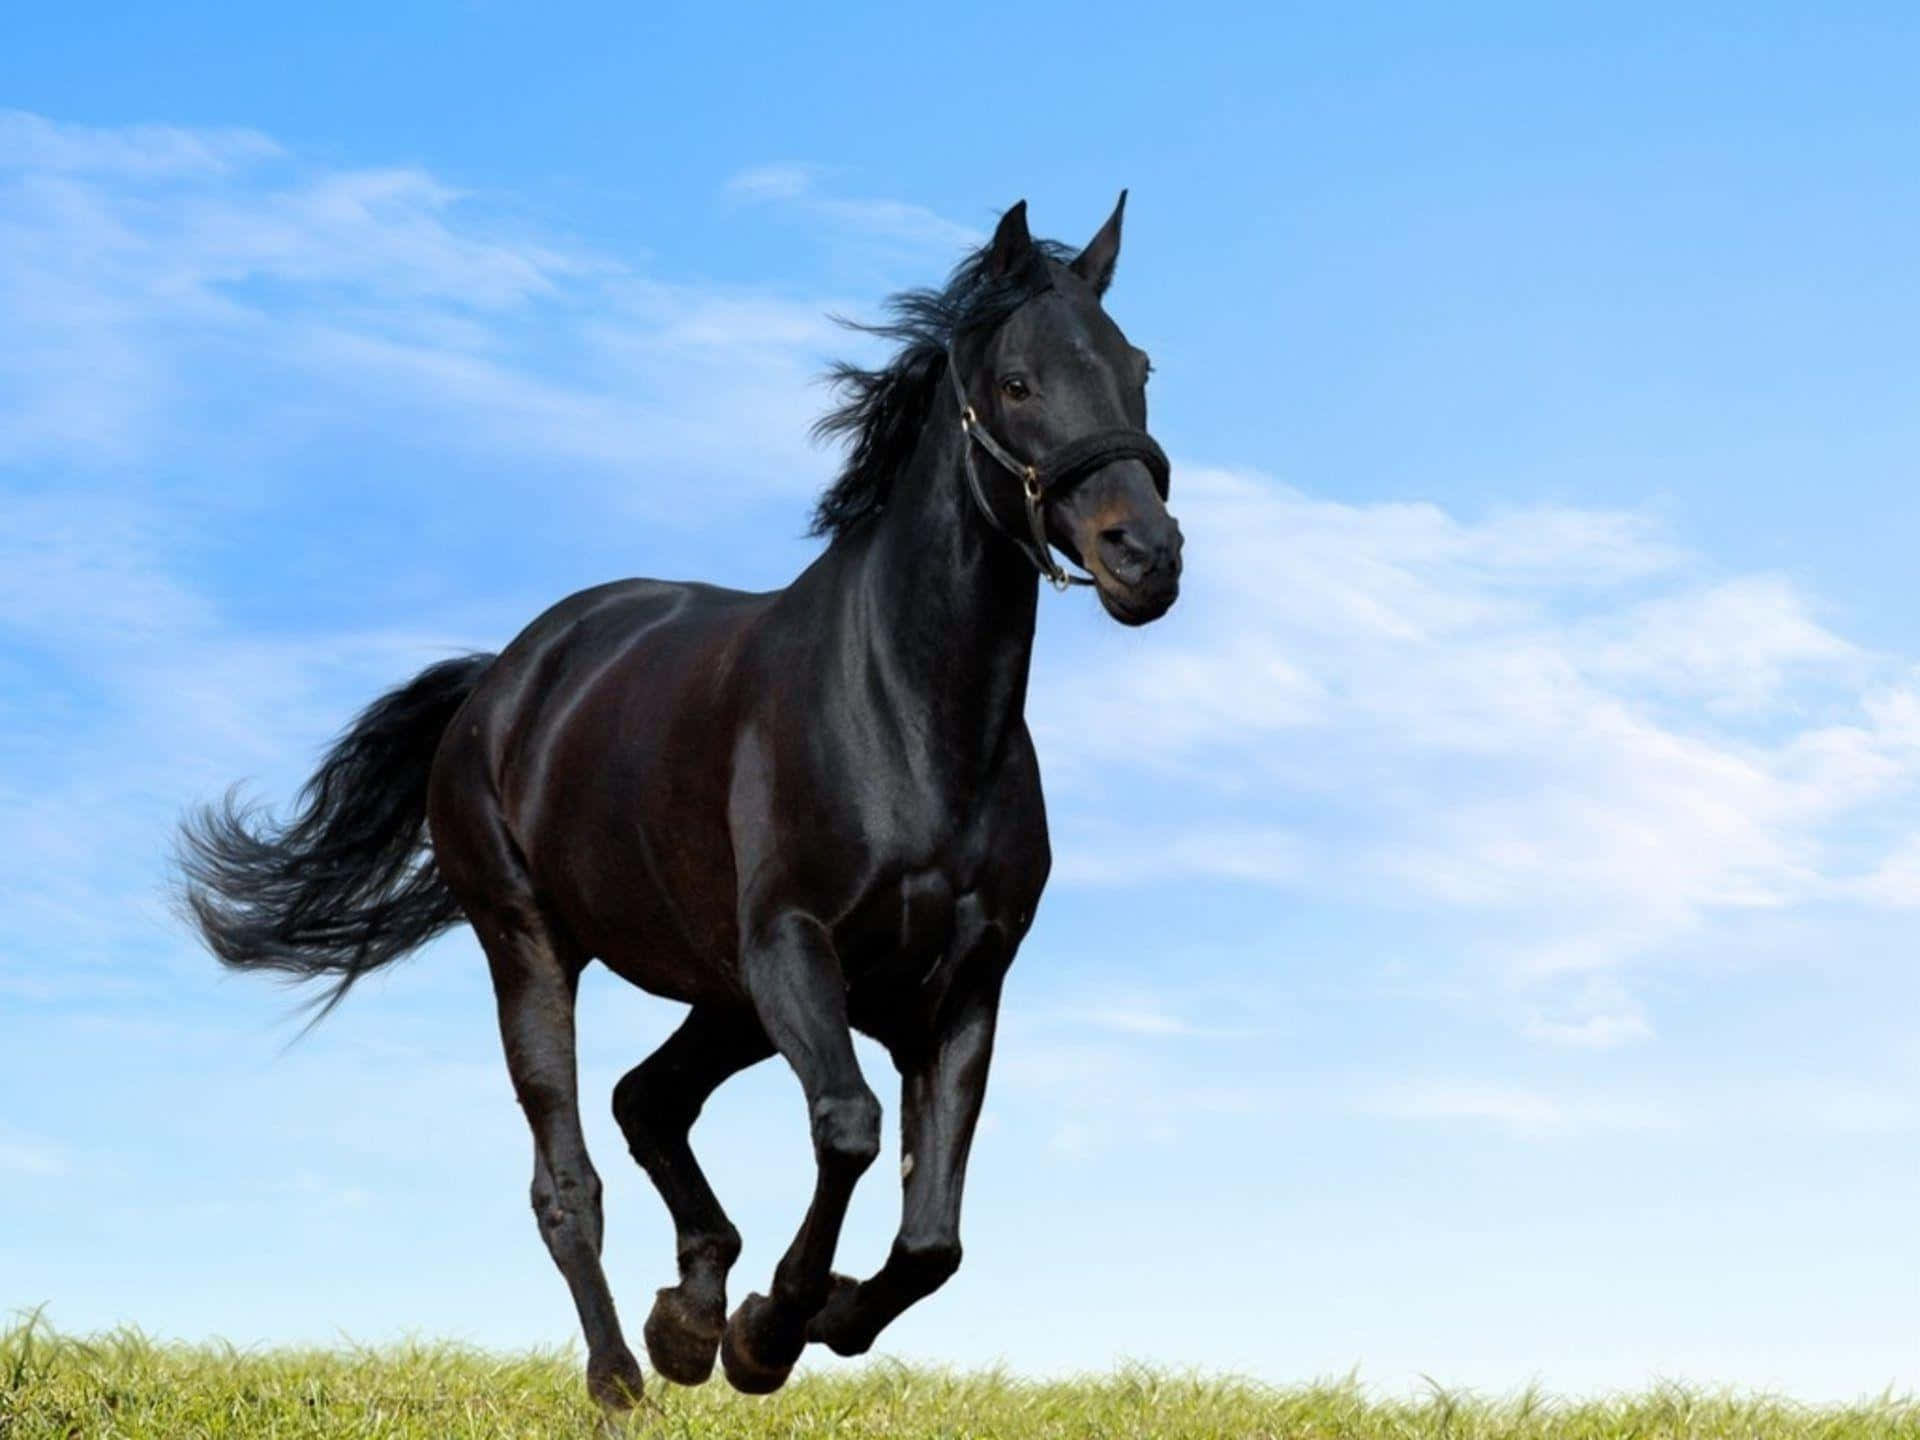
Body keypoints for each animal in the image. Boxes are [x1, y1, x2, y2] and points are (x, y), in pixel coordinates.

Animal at [178, 194, 1183, 1409]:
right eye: (1020, 381)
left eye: (1138, 367)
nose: (1147, 556)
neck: (909, 715)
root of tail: (504, 679)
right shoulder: (794, 946)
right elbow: (850, 1130)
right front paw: (770, 1331)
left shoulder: (962, 988)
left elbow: (932, 1238)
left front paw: (790, 1319)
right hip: (535, 948)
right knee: (569, 1177)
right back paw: (626, 1374)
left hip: (724, 994)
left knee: (645, 1101)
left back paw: (688, 1315)